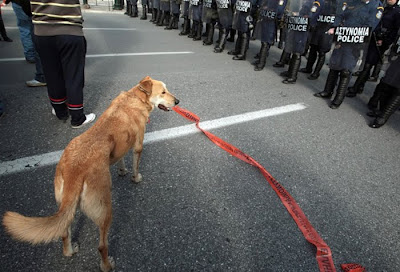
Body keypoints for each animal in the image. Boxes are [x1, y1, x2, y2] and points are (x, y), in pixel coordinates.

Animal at [1, 76, 180, 272]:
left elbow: (121, 159)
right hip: (105, 209)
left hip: (66, 207)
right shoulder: (138, 144)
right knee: (101, 245)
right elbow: (135, 164)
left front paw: (122, 171)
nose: (178, 101)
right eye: (163, 92)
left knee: (64, 233)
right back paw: (107, 265)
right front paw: (135, 178)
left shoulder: (122, 146)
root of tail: (75, 171)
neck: (135, 98)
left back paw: (70, 251)